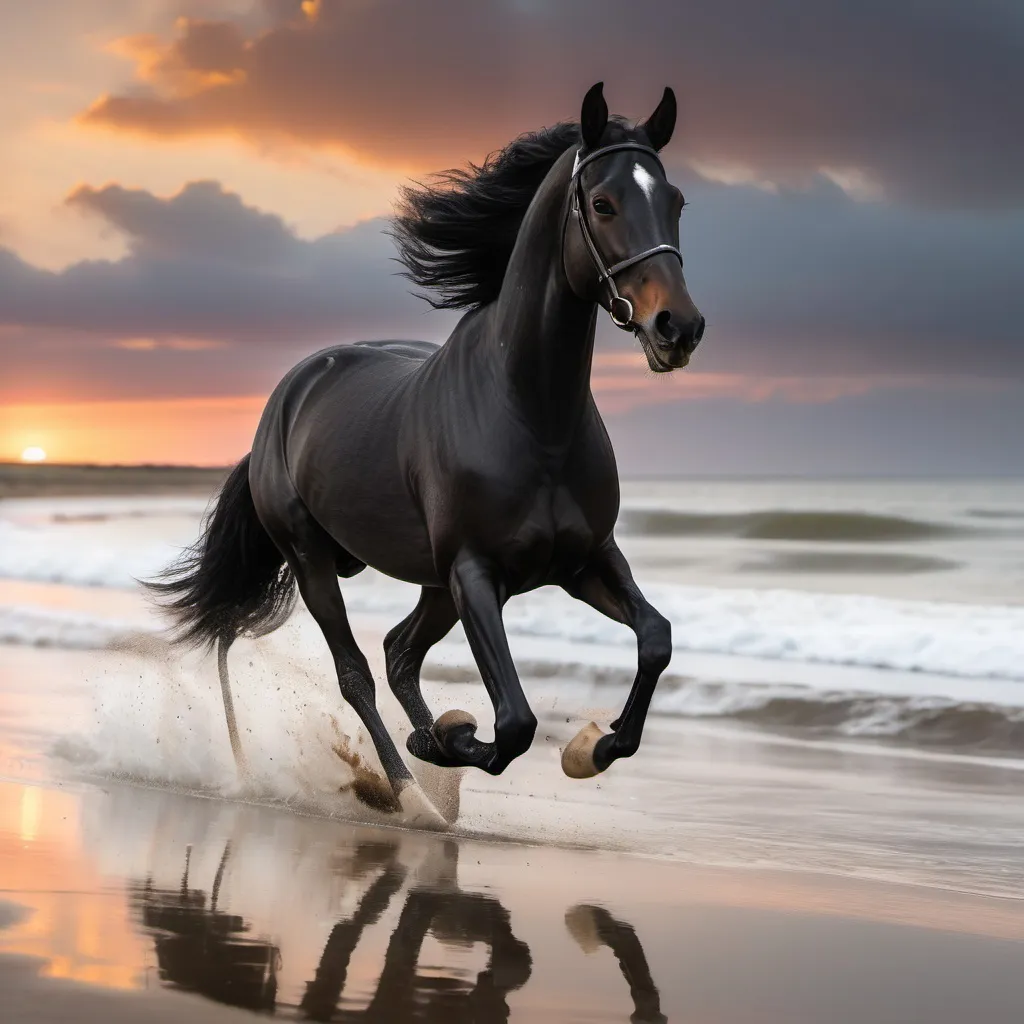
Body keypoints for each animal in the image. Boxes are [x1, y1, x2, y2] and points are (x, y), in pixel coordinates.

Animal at [149, 81, 704, 815]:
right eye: (603, 203)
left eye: (675, 201)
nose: (678, 327)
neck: (534, 418)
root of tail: (288, 398)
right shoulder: (476, 574)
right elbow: (514, 722)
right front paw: (455, 738)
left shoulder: (584, 560)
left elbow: (655, 640)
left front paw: (589, 749)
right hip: (315, 560)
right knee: (358, 671)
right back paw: (412, 790)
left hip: (430, 582)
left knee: (397, 653)